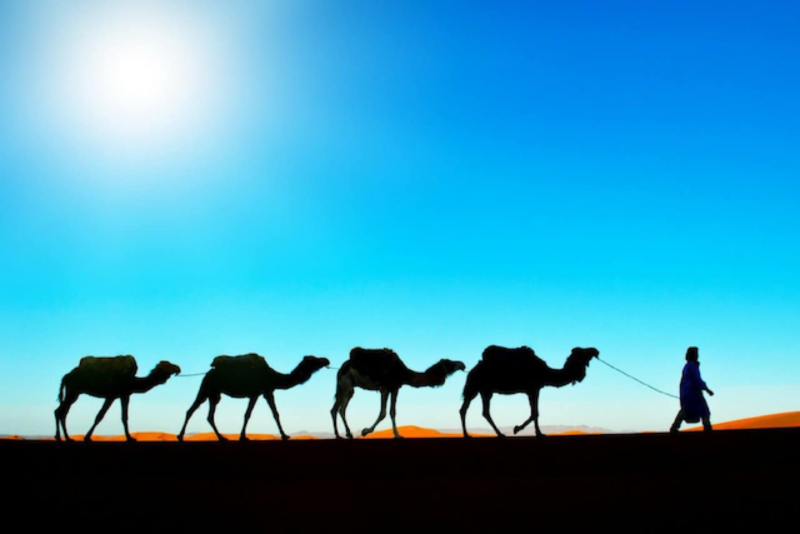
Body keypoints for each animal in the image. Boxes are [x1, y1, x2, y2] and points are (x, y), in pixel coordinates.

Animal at [177, 353, 330, 442]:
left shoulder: (265, 392)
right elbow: (250, 414)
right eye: (313, 360)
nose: (326, 360)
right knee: (192, 409)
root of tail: (209, 371)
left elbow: (272, 413)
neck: (273, 377)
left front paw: (284, 435)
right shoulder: (258, 393)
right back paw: (180, 436)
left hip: (215, 394)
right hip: (206, 387)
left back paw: (221, 438)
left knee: (209, 415)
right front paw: (243, 437)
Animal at [331, 347, 466, 439]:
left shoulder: (395, 388)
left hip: (345, 387)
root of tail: (342, 368)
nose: (462, 364)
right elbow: (383, 413)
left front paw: (397, 435)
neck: (403, 373)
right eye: (449, 363)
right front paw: (365, 431)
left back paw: (340, 435)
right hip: (347, 384)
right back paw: (346, 434)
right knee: (341, 409)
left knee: (335, 409)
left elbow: (392, 412)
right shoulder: (385, 388)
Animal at [460, 345, 599, 438]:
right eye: (582, 352)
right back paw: (472, 435)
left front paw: (538, 432)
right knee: (470, 409)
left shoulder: (533, 390)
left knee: (479, 411)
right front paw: (518, 429)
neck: (545, 372)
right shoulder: (533, 389)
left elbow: (535, 412)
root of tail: (473, 370)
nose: (595, 350)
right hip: (477, 387)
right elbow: (535, 413)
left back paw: (492, 434)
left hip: (484, 390)